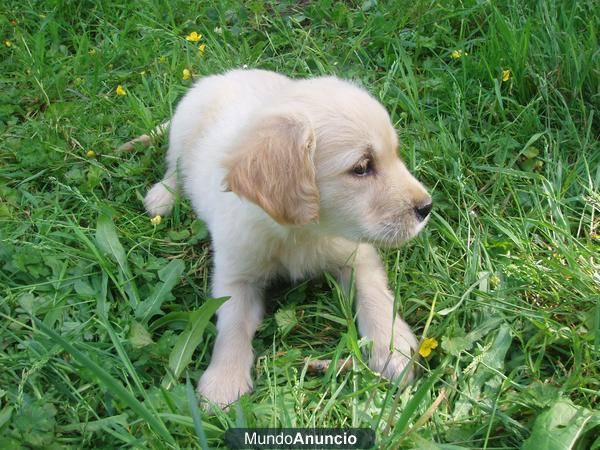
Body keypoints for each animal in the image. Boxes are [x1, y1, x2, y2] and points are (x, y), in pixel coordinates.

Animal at [146, 67, 436, 408]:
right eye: (362, 167)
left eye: (396, 154)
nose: (426, 207)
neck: (303, 232)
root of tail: (224, 76)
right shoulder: (235, 274)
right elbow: (232, 323)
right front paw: (224, 382)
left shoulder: (356, 254)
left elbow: (374, 293)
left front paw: (391, 348)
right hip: (183, 128)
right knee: (175, 167)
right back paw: (162, 197)